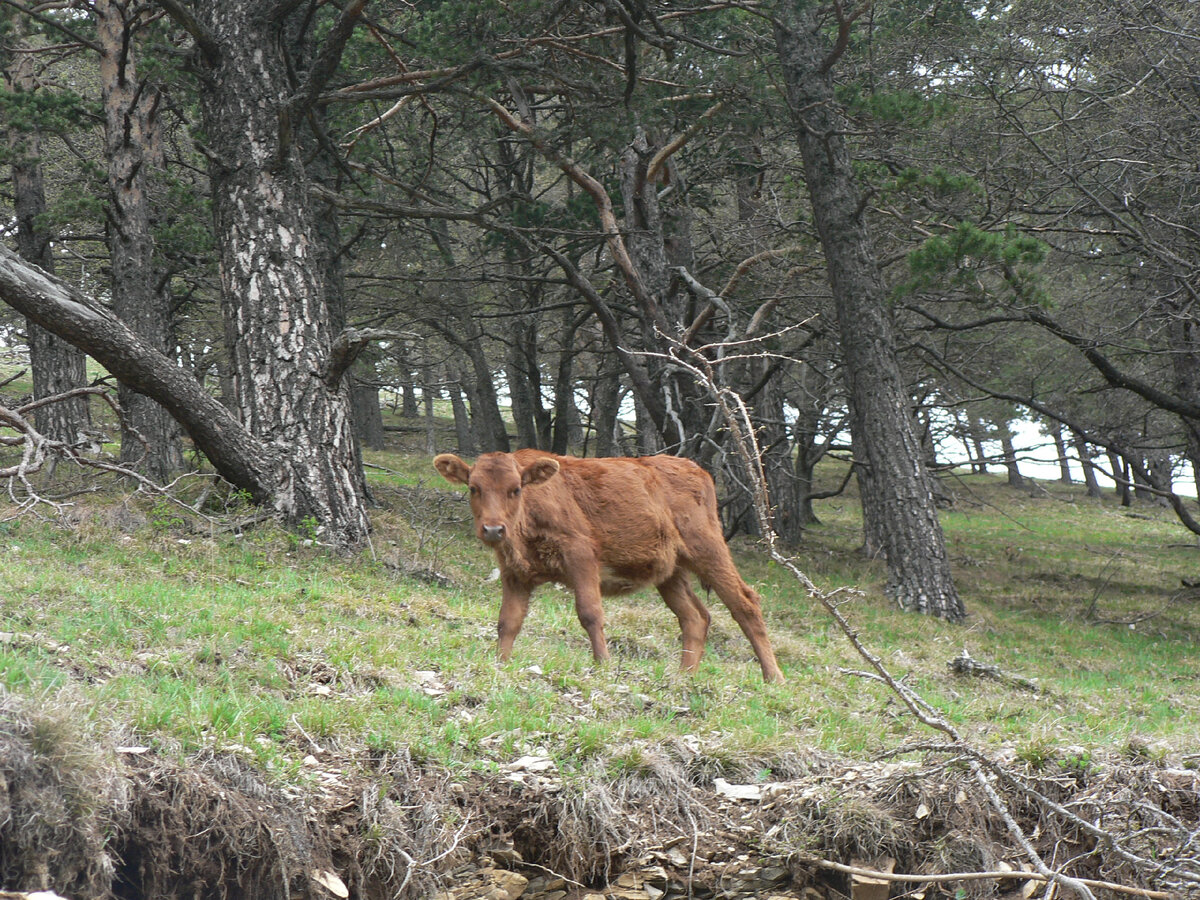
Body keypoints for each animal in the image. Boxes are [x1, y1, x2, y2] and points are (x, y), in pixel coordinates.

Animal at [434, 451, 787, 681]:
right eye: (473, 488)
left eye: (516, 489)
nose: (494, 529)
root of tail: (694, 469)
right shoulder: (515, 574)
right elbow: (508, 621)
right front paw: (501, 662)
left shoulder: (581, 557)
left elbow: (590, 613)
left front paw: (603, 664)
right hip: (670, 572)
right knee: (695, 616)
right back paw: (684, 677)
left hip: (708, 550)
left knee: (745, 603)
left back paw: (773, 677)